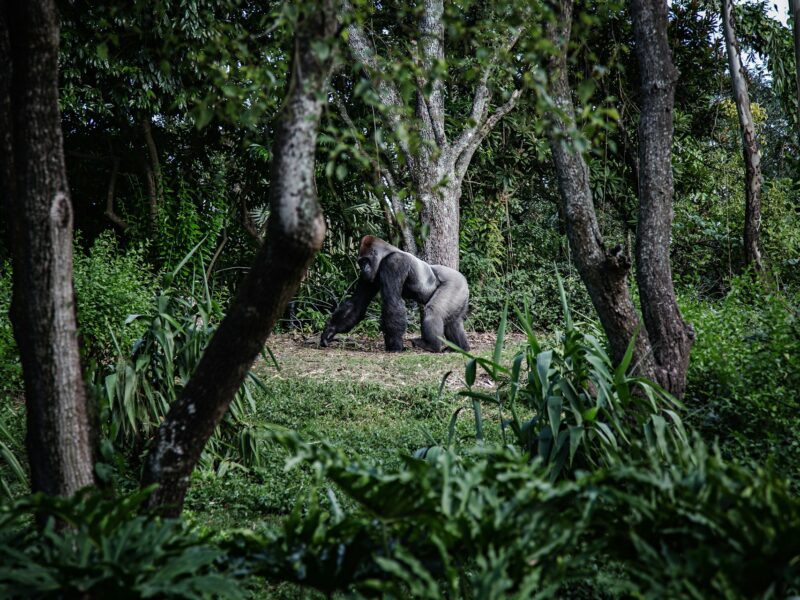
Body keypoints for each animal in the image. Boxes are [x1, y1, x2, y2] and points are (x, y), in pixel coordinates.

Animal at [320, 236, 470, 352]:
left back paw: (432, 345)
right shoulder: (369, 276)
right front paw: (330, 331)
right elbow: (357, 304)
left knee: (434, 311)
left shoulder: (394, 262)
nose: (362, 269)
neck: (386, 253)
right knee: (453, 321)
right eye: (360, 262)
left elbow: (392, 301)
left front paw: (395, 346)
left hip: (455, 283)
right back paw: (460, 348)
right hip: (461, 293)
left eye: (365, 261)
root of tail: (464, 279)